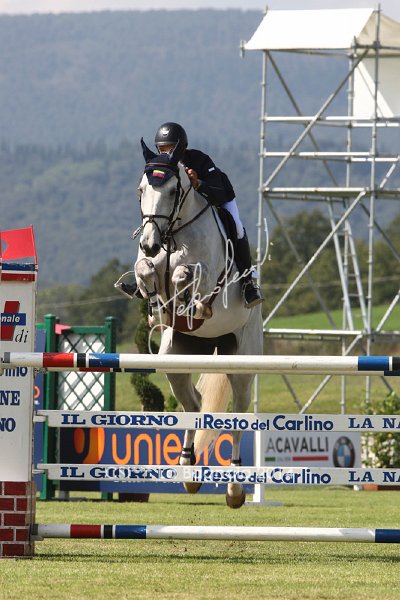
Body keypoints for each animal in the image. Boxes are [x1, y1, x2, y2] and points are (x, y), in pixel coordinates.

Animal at [134, 139, 263, 508]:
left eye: (172, 190)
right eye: (141, 190)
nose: (149, 242)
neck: (175, 233)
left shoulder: (206, 274)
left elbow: (185, 274)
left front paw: (193, 305)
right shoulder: (146, 263)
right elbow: (145, 270)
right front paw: (157, 307)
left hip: (242, 361)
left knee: (238, 414)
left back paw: (235, 488)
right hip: (176, 359)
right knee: (192, 404)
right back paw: (188, 468)